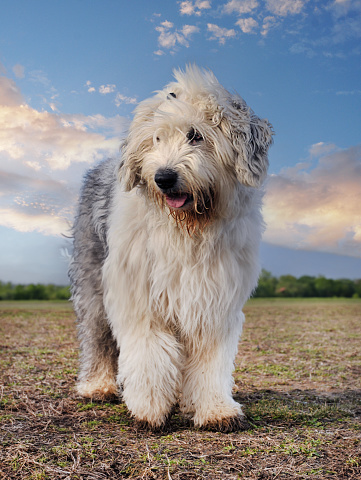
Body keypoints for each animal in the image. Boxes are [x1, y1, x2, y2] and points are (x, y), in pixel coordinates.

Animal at [68, 64, 272, 432]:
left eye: (196, 135)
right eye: (157, 139)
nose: (163, 177)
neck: (187, 230)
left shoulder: (213, 300)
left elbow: (209, 360)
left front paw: (215, 409)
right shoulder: (140, 296)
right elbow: (149, 352)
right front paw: (149, 409)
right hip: (92, 280)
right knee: (97, 336)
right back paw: (97, 385)